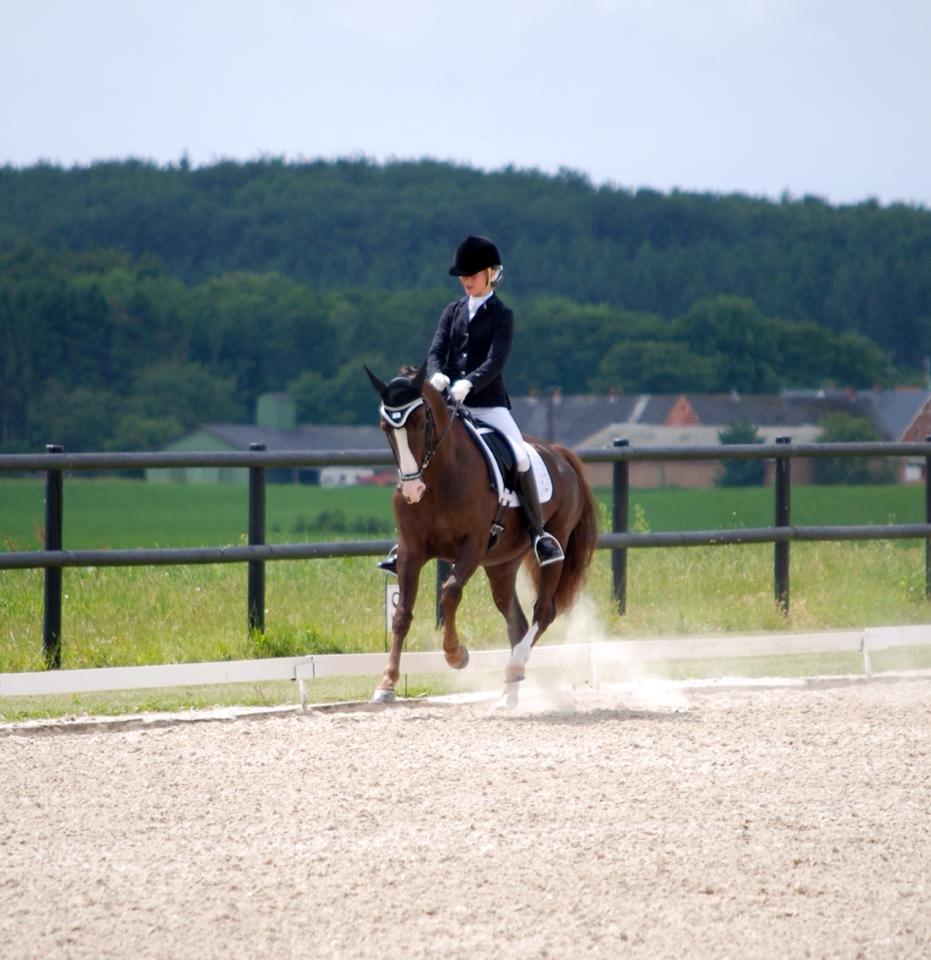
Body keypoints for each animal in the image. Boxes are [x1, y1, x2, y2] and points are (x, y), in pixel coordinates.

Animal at [364, 362, 596, 704]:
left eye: (421, 422)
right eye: (385, 427)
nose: (411, 490)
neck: (439, 475)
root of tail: (558, 453)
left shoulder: (472, 546)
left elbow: (449, 592)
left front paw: (456, 655)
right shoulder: (411, 549)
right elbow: (402, 614)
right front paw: (386, 684)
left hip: (556, 544)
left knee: (544, 611)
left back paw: (514, 667)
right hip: (502, 563)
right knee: (516, 621)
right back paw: (509, 694)